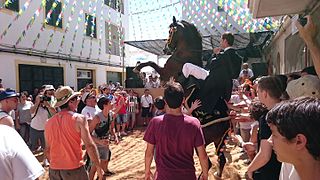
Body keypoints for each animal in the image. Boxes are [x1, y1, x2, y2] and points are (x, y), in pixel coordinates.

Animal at [134, 16, 234, 177]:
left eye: (170, 31)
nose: (165, 49)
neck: (185, 55)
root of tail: (224, 121)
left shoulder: (165, 73)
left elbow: (152, 62)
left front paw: (138, 67)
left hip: (202, 140)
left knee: (208, 162)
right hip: (219, 141)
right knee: (221, 159)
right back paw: (217, 175)